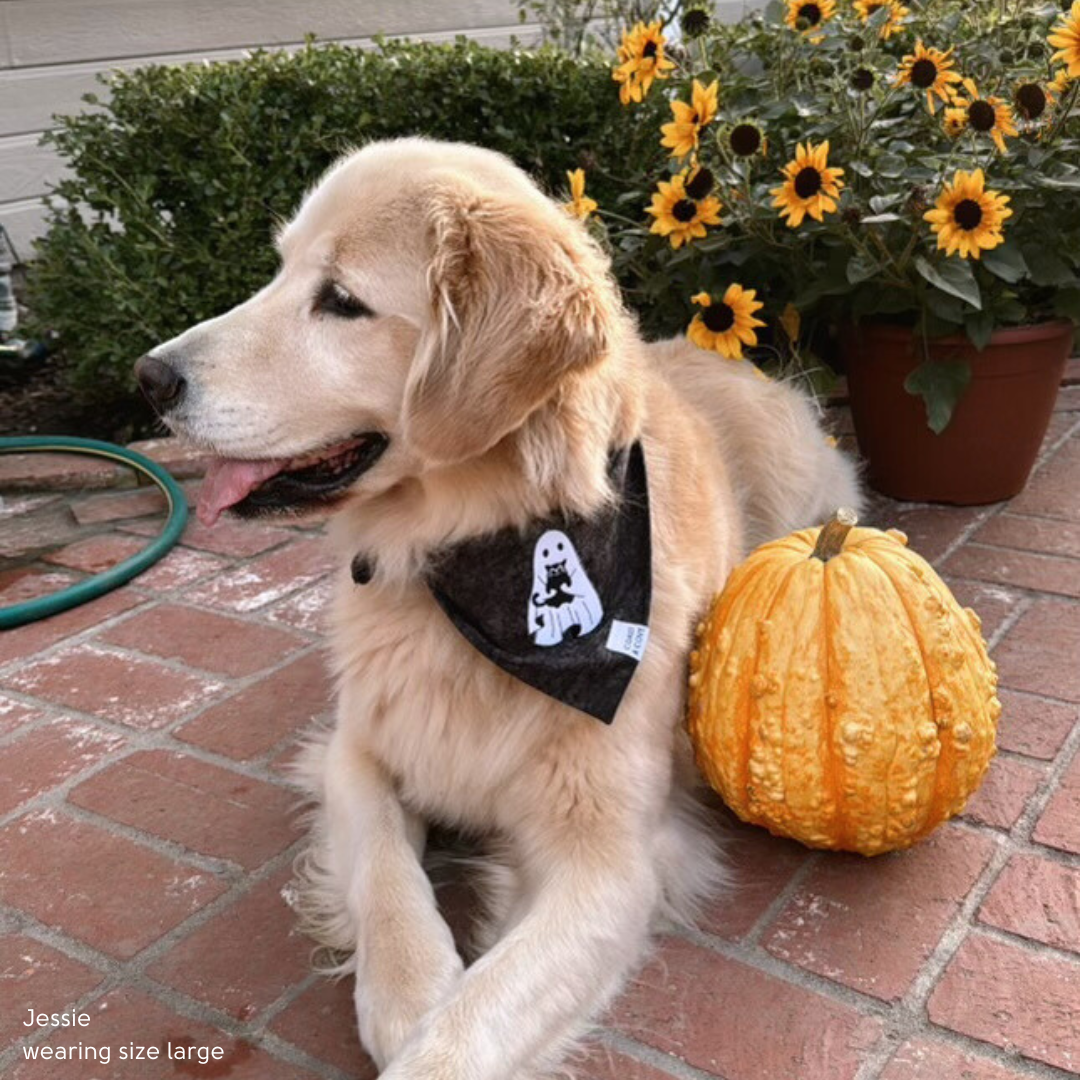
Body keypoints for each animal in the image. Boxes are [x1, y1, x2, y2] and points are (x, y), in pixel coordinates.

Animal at [135, 139, 859, 1075]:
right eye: (280, 269)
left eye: (341, 301)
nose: (148, 377)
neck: (466, 566)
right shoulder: (354, 752)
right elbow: (386, 878)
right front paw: (411, 991)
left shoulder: (610, 859)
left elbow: (469, 1029)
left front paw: (433, 1026)